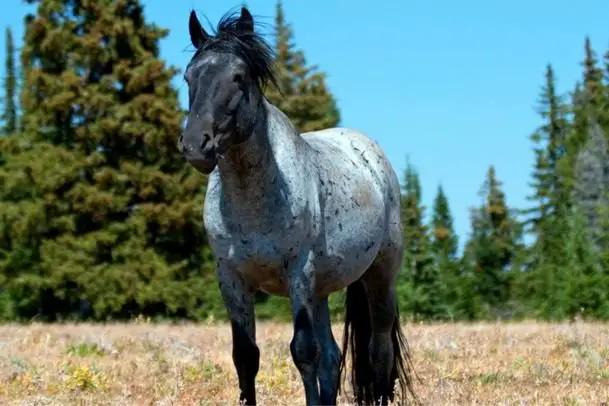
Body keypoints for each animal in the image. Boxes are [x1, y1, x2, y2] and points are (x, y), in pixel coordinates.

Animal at [178, 7, 416, 406]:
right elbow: (246, 356)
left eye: (238, 76)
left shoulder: (298, 273)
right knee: (333, 356)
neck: (254, 201)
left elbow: (303, 351)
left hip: (379, 276)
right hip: (320, 291)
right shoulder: (231, 278)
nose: (197, 145)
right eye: (189, 76)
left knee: (378, 350)